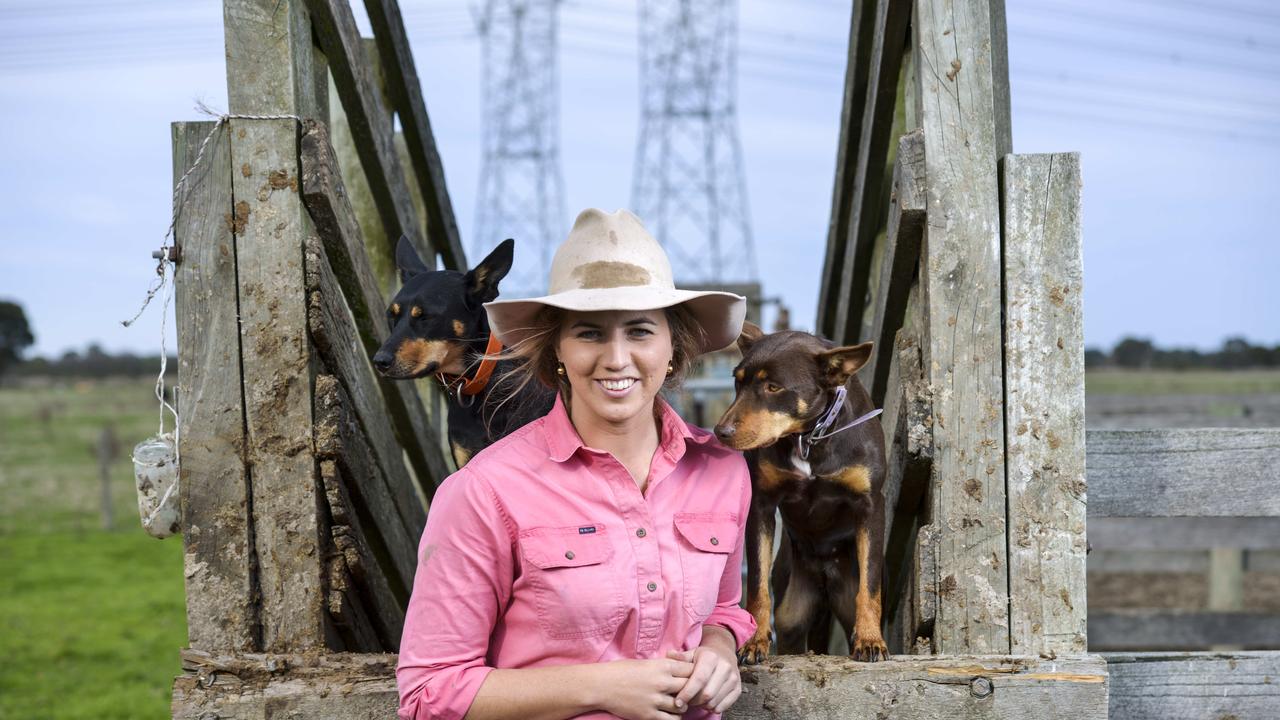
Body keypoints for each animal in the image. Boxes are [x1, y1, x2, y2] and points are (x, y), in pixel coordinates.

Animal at [716, 324, 885, 661]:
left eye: (773, 387)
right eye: (737, 381)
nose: (720, 432)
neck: (809, 436)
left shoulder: (871, 505)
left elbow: (871, 584)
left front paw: (871, 640)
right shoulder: (761, 506)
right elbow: (757, 585)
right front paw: (754, 641)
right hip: (792, 611)